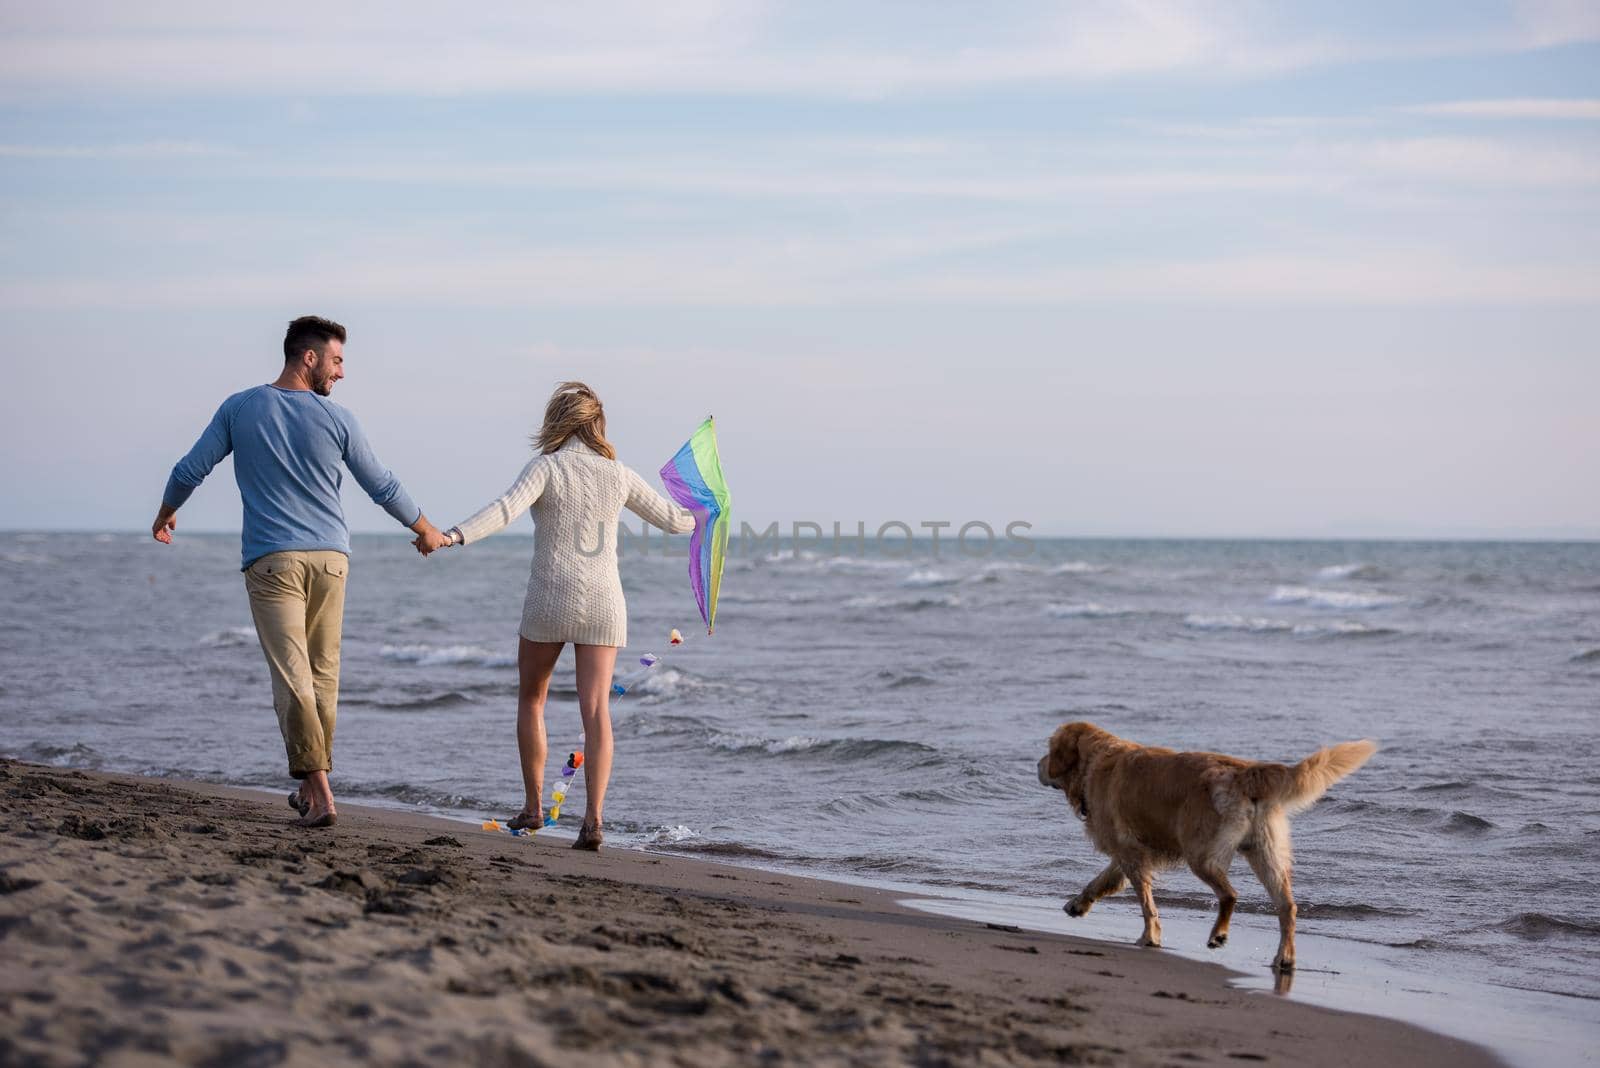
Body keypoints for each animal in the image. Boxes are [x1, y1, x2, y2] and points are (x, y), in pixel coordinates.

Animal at [1036, 722, 1376, 972]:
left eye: (1049, 750)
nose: (1036, 765)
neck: (1096, 762)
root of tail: (1243, 771)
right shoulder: (1130, 852)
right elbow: (1101, 881)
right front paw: (1078, 904)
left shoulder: (1130, 852)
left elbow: (1146, 903)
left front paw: (1150, 936)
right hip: (1266, 854)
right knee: (1287, 906)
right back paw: (1284, 957)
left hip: (1200, 853)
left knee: (1230, 894)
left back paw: (1219, 935)